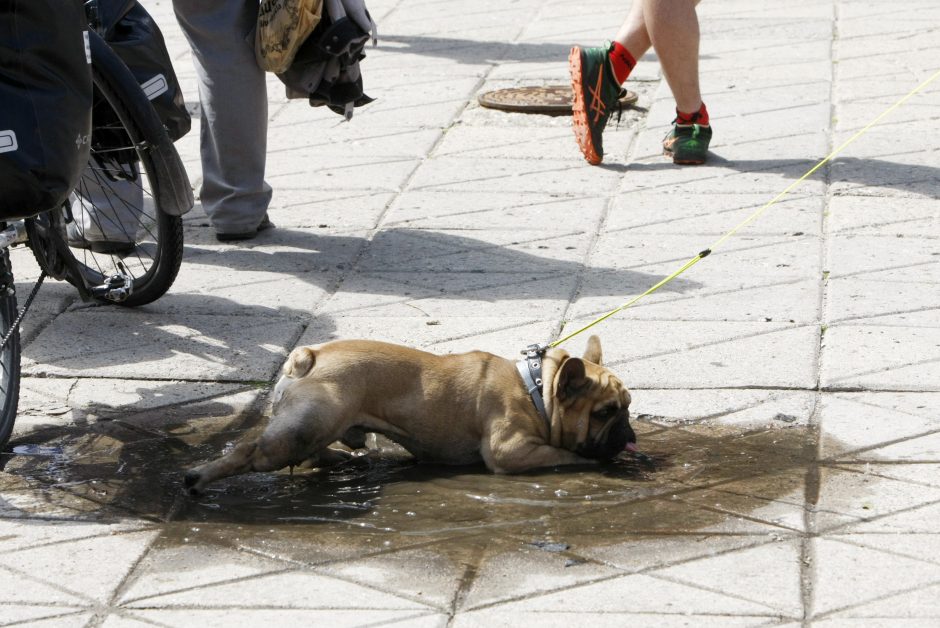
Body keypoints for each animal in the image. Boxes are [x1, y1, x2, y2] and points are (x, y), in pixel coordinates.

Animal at [184, 334, 636, 496]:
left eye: (629, 407)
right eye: (607, 412)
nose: (630, 433)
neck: (538, 390)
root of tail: (308, 355)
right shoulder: (512, 450)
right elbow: (567, 455)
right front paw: (595, 463)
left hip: (318, 425)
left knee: (313, 456)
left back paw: (347, 459)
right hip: (302, 429)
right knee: (250, 452)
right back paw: (198, 477)